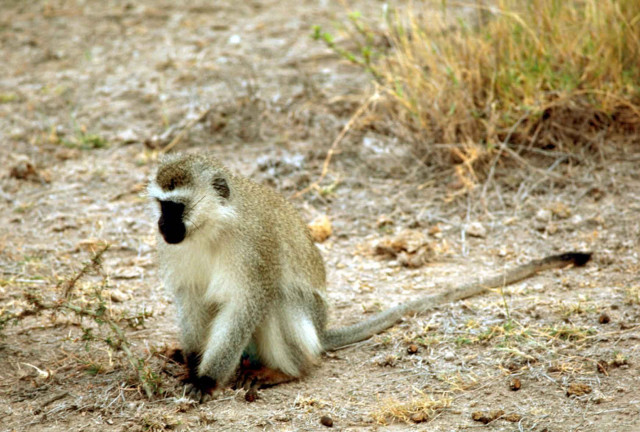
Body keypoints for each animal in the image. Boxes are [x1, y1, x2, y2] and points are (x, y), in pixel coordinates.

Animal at [147, 153, 591, 402]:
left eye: (176, 207)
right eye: (162, 206)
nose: (162, 226)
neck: (212, 227)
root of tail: (322, 331)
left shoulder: (255, 245)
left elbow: (247, 303)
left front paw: (206, 381)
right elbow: (191, 298)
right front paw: (192, 366)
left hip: (305, 327)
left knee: (277, 299)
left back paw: (286, 371)